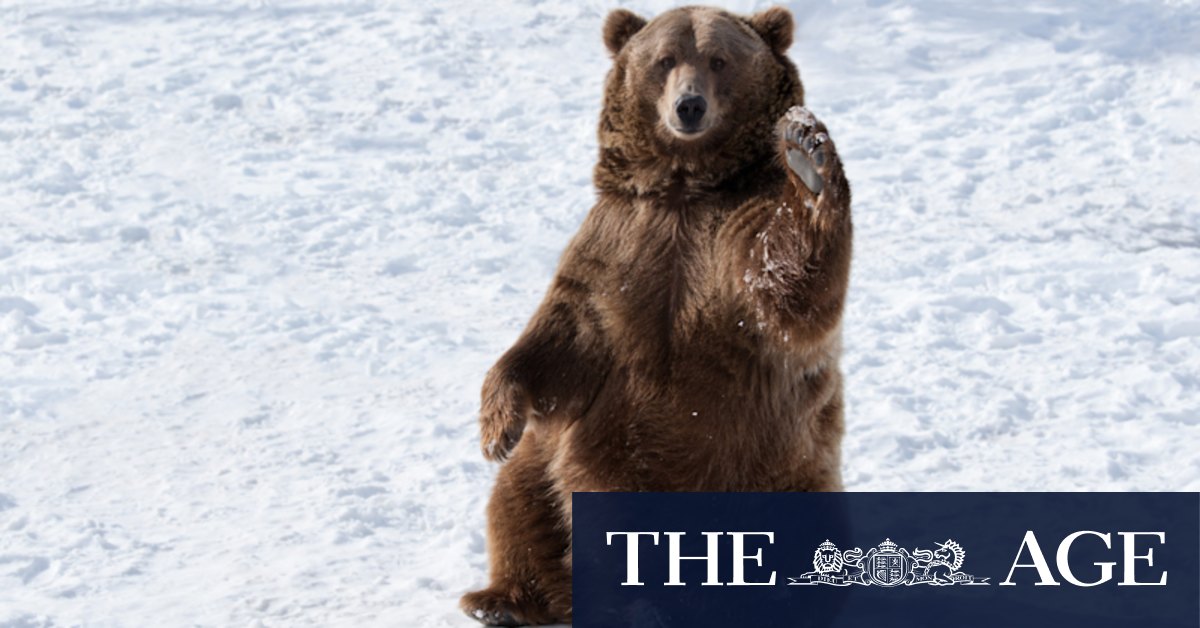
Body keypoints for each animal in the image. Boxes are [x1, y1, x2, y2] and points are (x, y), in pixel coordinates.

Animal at [461, 5, 852, 626]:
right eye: (665, 58)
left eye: (719, 59)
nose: (688, 106)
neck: (684, 187)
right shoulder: (618, 244)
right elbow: (559, 336)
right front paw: (496, 426)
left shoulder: (729, 240)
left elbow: (788, 286)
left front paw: (807, 157)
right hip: (562, 465)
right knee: (519, 502)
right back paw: (503, 600)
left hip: (780, 468)